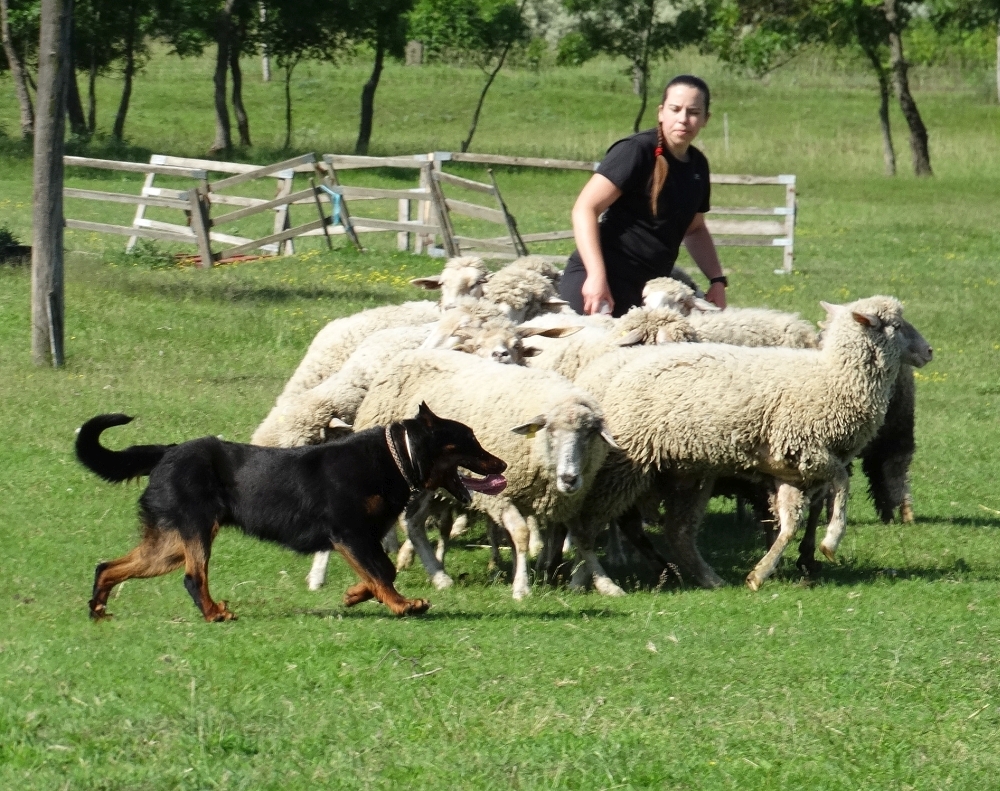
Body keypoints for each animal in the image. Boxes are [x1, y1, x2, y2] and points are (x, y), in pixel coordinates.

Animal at [76, 406, 508, 620]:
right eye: (470, 439)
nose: (502, 463)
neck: (394, 457)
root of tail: (166, 451)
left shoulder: (361, 538)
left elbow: (380, 570)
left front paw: (355, 595)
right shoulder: (350, 533)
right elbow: (382, 571)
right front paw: (402, 605)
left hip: (168, 545)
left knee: (107, 567)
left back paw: (98, 608)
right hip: (196, 532)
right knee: (192, 577)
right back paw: (214, 614)